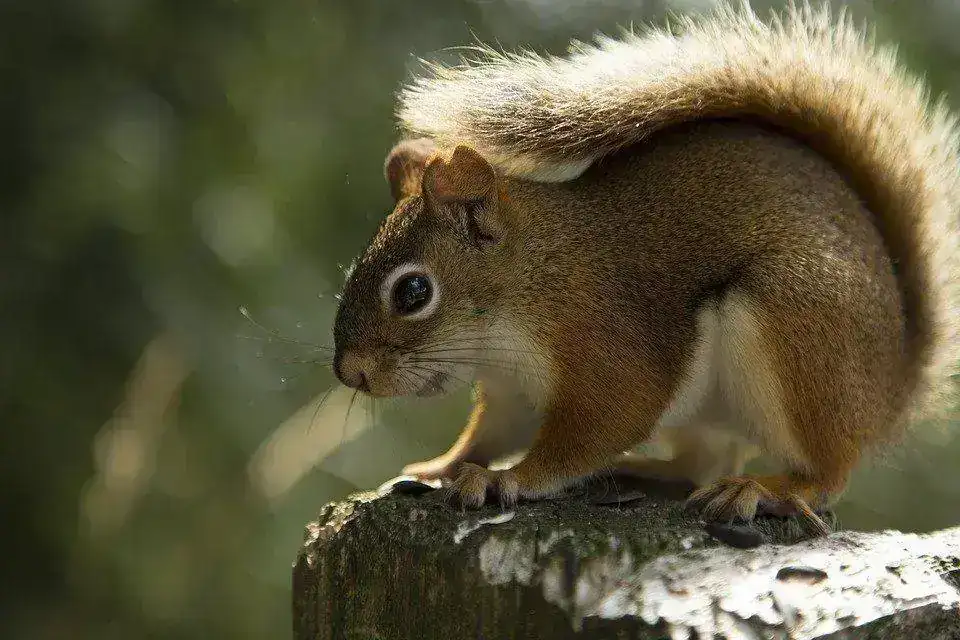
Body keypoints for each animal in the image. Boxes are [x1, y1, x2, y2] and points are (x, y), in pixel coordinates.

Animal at [331, 2, 960, 534]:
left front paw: (505, 478)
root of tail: (887, 396)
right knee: (702, 462)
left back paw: (764, 490)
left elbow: (599, 426)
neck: (532, 281)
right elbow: (488, 434)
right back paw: (644, 471)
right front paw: (439, 467)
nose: (350, 374)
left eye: (413, 291)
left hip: (797, 331)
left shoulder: (608, 346)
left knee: (826, 475)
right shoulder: (509, 392)